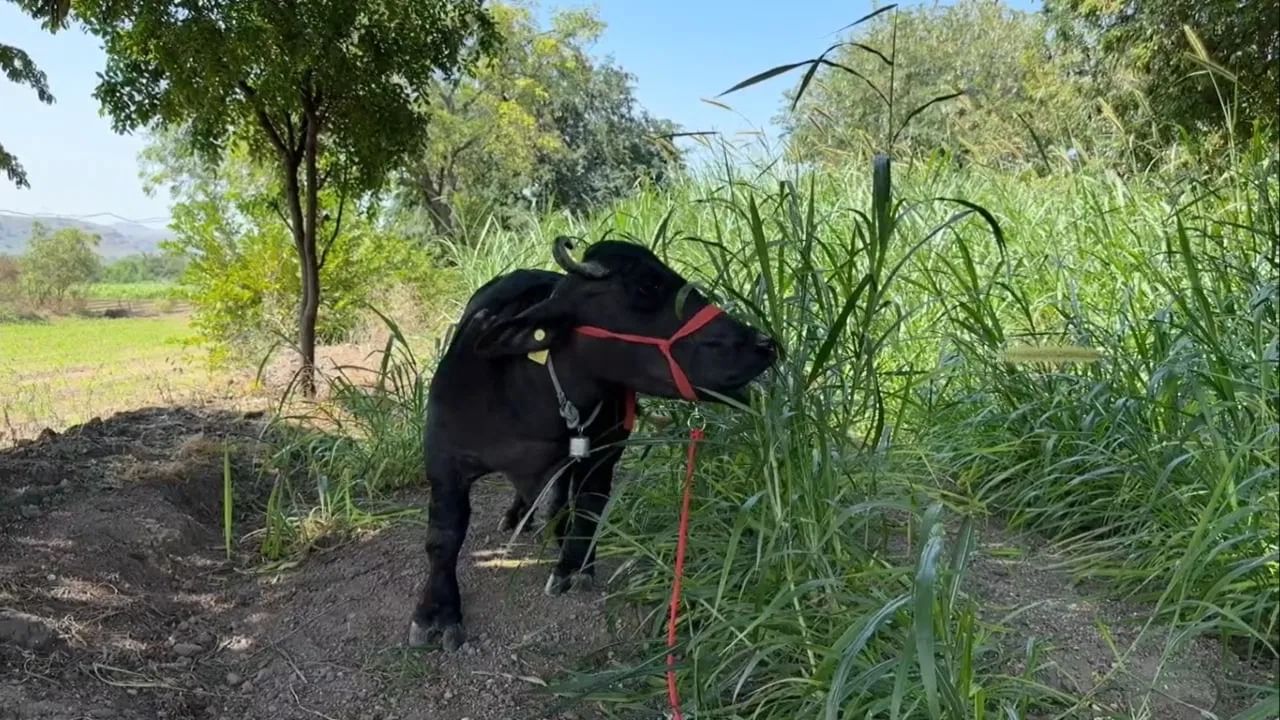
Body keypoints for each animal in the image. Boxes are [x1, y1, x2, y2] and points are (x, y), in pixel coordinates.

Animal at [408, 236, 778, 650]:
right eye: (646, 287)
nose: (763, 343)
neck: (528, 397)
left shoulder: (602, 452)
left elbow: (586, 508)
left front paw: (574, 565)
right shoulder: (444, 462)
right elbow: (443, 538)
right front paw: (436, 613)